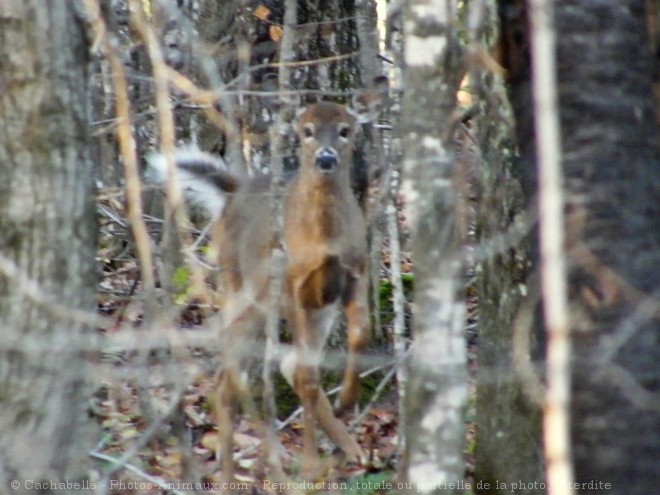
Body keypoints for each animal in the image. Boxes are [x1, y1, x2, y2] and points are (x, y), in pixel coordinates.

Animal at [148, 99, 378, 482]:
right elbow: (308, 376)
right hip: (245, 291)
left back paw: (347, 449)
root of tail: (232, 194)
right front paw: (311, 462)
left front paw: (347, 400)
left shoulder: (354, 274)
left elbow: (359, 335)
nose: (326, 158)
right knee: (229, 378)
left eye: (345, 130)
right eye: (307, 130)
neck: (323, 239)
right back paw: (231, 473)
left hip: (314, 310)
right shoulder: (291, 283)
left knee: (282, 365)